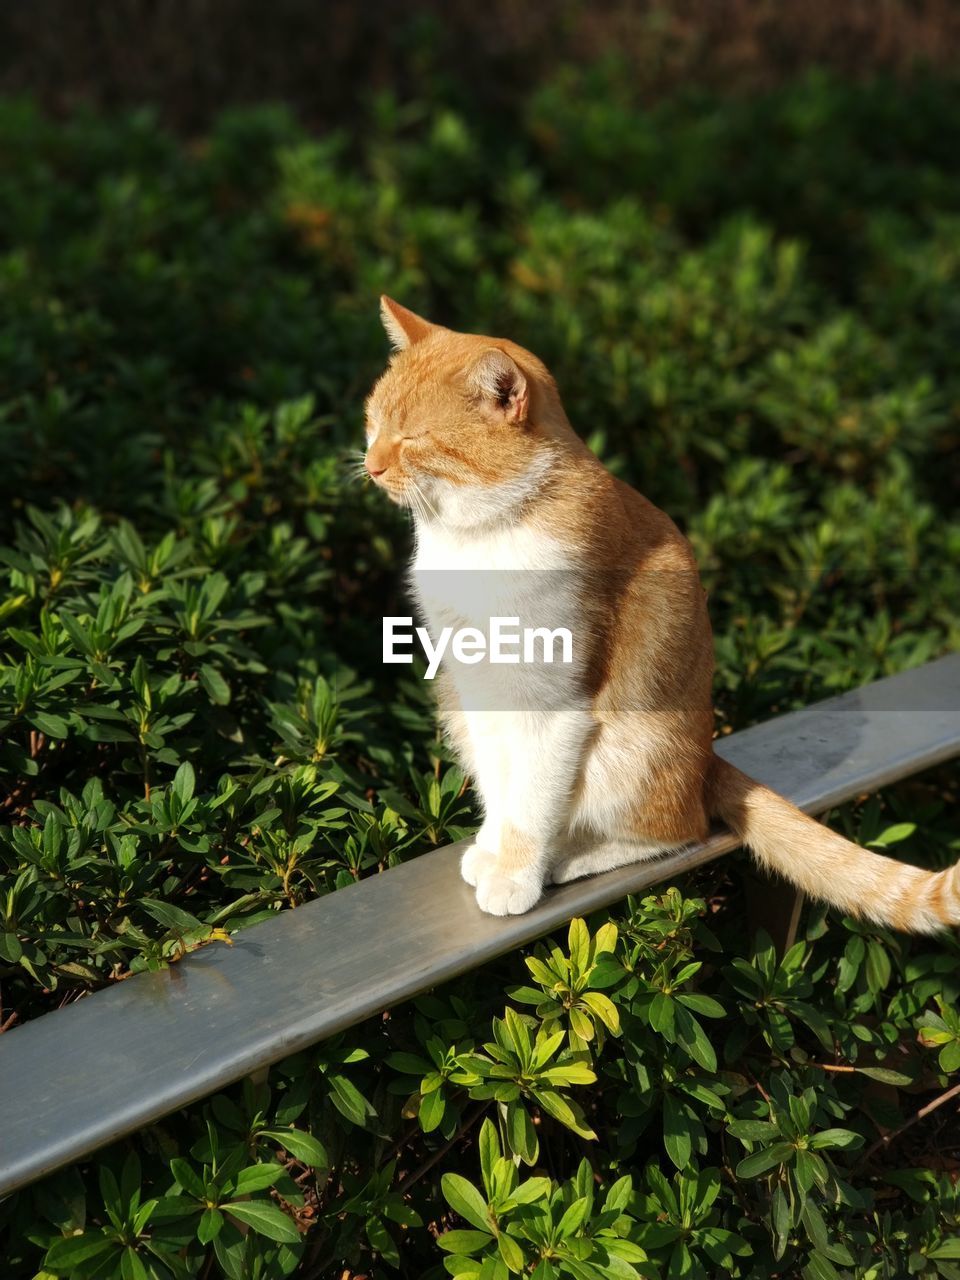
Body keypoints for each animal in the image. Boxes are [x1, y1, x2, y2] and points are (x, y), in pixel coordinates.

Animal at [363, 296, 957, 931]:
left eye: (414, 438)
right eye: (373, 423)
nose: (370, 466)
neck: (479, 537)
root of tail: (708, 757)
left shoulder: (553, 701)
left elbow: (532, 802)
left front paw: (517, 874)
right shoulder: (479, 690)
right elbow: (503, 789)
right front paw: (494, 849)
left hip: (629, 749)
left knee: (680, 830)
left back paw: (572, 858)